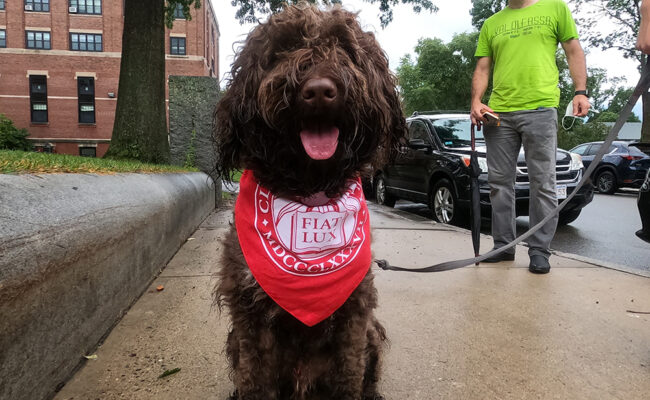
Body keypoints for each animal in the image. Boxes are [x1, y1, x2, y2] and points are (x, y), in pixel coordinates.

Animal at [213, 3, 404, 400]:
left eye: (344, 47)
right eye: (283, 48)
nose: (318, 91)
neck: (310, 192)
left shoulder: (354, 316)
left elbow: (349, 377)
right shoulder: (249, 319)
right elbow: (255, 382)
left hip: (371, 335)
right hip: (236, 342)